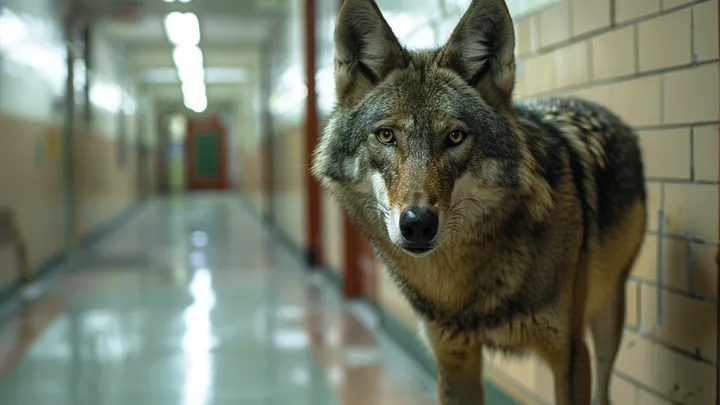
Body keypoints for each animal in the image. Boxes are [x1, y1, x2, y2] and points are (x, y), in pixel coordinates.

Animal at [311, 0, 647, 403]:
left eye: (455, 137)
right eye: (386, 136)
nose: (418, 224)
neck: (464, 287)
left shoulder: (570, 356)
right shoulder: (455, 360)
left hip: (608, 317)